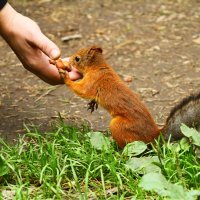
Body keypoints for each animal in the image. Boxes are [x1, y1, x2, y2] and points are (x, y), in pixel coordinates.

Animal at [52, 46, 200, 148]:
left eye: (77, 58)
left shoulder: (91, 82)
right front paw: (93, 103)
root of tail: (153, 137)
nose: (69, 60)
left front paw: (65, 77)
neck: (99, 67)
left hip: (118, 126)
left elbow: (81, 90)